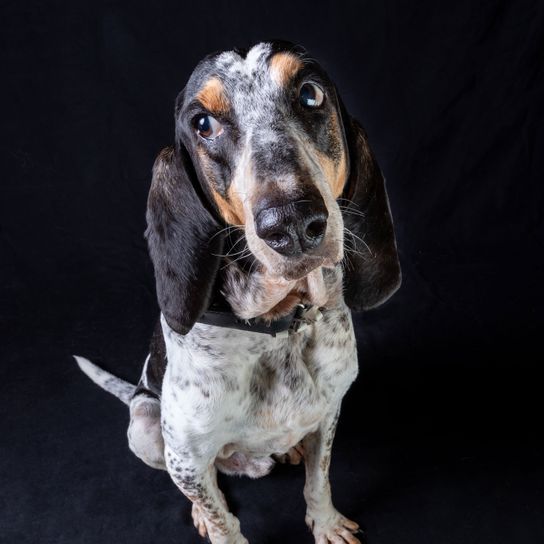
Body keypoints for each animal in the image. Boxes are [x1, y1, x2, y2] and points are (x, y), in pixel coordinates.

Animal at [75, 40, 400, 540]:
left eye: (310, 94)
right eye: (203, 124)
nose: (291, 223)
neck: (277, 329)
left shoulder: (329, 415)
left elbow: (319, 480)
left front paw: (326, 523)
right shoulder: (186, 458)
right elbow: (223, 520)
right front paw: (214, 521)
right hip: (146, 429)